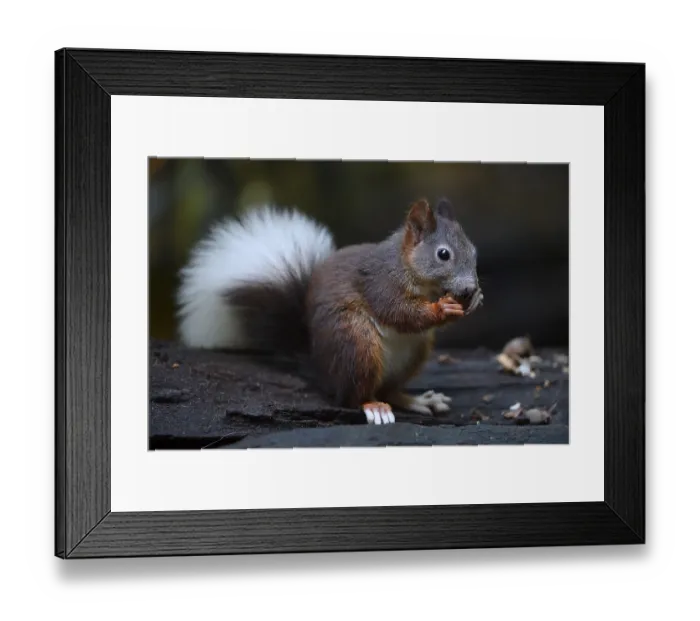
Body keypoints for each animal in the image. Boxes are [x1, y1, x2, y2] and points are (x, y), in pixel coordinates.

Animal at [176, 197, 483, 426]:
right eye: (443, 254)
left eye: (474, 251)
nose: (469, 288)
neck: (410, 268)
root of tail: (319, 363)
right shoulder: (380, 283)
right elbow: (400, 312)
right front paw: (443, 307)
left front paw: (475, 300)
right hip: (357, 342)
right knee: (351, 397)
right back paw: (373, 406)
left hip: (413, 351)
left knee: (388, 390)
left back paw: (417, 400)